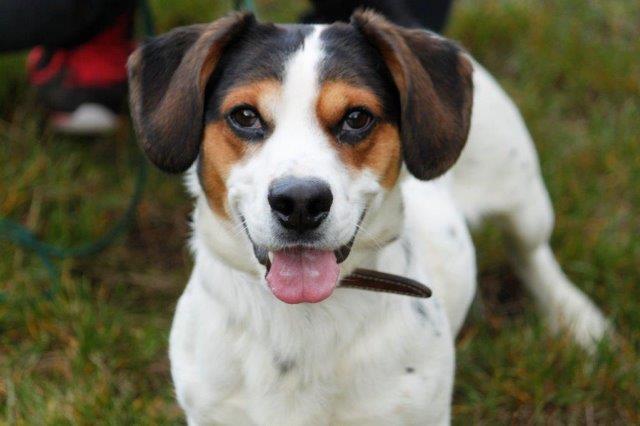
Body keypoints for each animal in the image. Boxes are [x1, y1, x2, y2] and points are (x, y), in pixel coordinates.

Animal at [127, 10, 609, 425]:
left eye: (357, 118)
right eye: (244, 115)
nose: (300, 202)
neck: (304, 320)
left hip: (521, 193)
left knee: (531, 253)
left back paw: (577, 319)